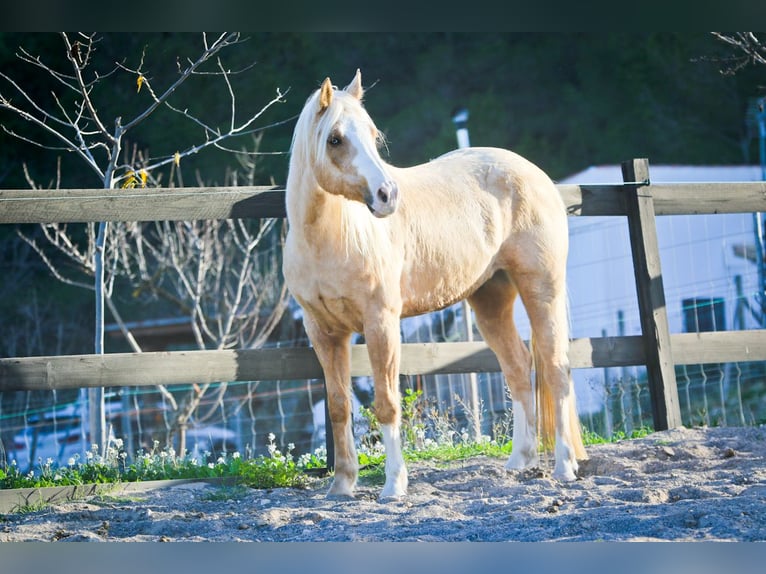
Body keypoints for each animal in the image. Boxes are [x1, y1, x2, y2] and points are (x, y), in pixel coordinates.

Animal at [282, 71, 588, 500]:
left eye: (373, 135)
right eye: (335, 139)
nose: (387, 195)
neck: (329, 238)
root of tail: (535, 174)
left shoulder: (381, 323)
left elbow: (387, 403)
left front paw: (394, 485)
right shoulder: (324, 333)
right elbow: (340, 406)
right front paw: (342, 485)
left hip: (542, 290)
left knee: (555, 368)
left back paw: (564, 466)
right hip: (490, 301)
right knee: (517, 367)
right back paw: (520, 462)